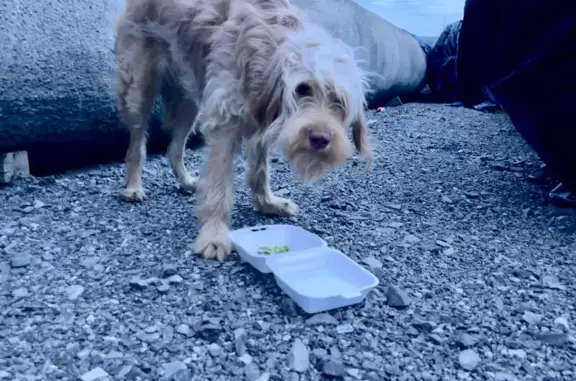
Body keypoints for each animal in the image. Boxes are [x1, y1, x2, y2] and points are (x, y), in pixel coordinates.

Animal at [113, 0, 374, 260]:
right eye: (302, 89)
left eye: (339, 101)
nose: (320, 138)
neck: (267, 51)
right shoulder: (224, 121)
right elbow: (219, 184)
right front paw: (214, 234)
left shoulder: (260, 121)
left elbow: (260, 170)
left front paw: (268, 203)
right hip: (139, 86)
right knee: (136, 143)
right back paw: (134, 186)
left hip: (190, 99)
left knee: (174, 147)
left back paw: (187, 181)